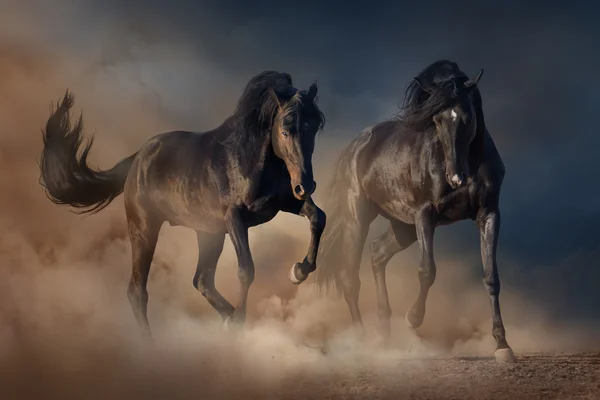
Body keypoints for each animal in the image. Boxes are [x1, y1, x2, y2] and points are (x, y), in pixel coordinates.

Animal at [38, 70, 328, 336]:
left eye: (314, 127)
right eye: (285, 130)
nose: (306, 185)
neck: (250, 160)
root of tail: (138, 157)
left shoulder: (285, 203)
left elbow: (318, 217)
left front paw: (299, 271)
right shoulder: (235, 218)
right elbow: (246, 269)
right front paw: (241, 322)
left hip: (208, 233)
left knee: (201, 280)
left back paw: (226, 318)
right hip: (145, 229)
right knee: (137, 290)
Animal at [314, 61, 516, 364]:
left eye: (467, 118)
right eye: (436, 120)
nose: (456, 178)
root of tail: (354, 147)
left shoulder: (488, 214)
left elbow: (491, 277)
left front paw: (502, 345)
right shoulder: (425, 213)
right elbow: (427, 270)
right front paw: (413, 318)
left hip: (402, 227)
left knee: (377, 253)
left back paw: (384, 334)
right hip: (357, 218)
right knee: (350, 278)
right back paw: (361, 340)